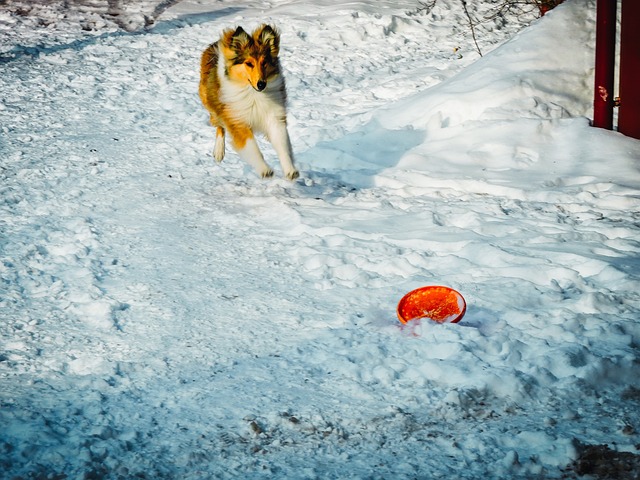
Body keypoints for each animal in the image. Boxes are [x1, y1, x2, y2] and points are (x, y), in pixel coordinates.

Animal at [199, 23, 298, 180]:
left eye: (264, 62)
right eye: (249, 63)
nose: (261, 84)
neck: (253, 93)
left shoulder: (274, 117)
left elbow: (282, 145)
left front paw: (290, 170)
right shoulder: (237, 121)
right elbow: (252, 147)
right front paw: (265, 170)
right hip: (211, 102)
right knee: (219, 125)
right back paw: (219, 152)